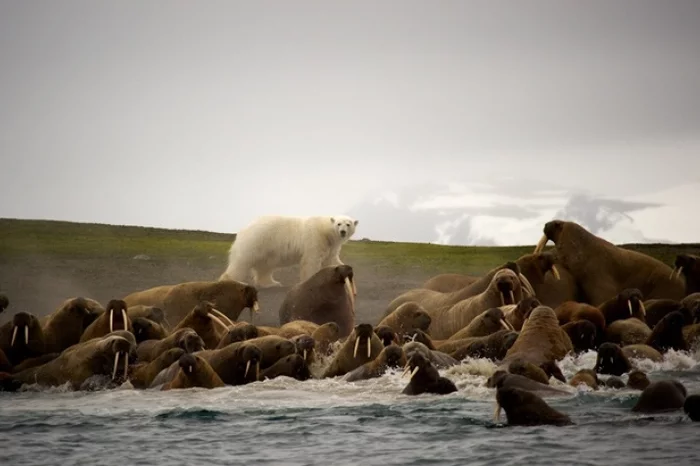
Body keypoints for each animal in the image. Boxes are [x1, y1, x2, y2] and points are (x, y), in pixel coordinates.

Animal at [219, 215, 358, 288]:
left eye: (348, 224)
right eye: (339, 224)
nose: (343, 232)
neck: (325, 231)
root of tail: (244, 229)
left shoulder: (331, 246)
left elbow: (332, 260)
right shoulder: (315, 239)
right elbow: (311, 262)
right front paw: (310, 281)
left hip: (267, 250)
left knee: (265, 267)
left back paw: (272, 283)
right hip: (256, 241)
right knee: (241, 262)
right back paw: (230, 281)